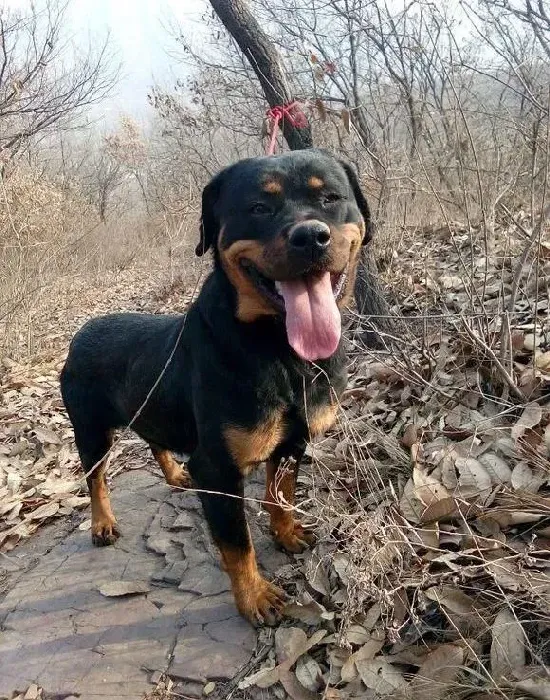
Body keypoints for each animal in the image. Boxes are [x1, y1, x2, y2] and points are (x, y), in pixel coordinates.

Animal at [60, 146, 374, 624]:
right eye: (259, 208)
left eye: (331, 198)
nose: (310, 237)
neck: (278, 349)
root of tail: (81, 332)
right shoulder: (219, 468)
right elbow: (237, 543)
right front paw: (255, 597)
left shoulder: (293, 442)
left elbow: (281, 494)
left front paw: (286, 532)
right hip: (90, 428)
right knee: (96, 478)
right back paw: (102, 523)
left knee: (155, 439)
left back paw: (175, 473)